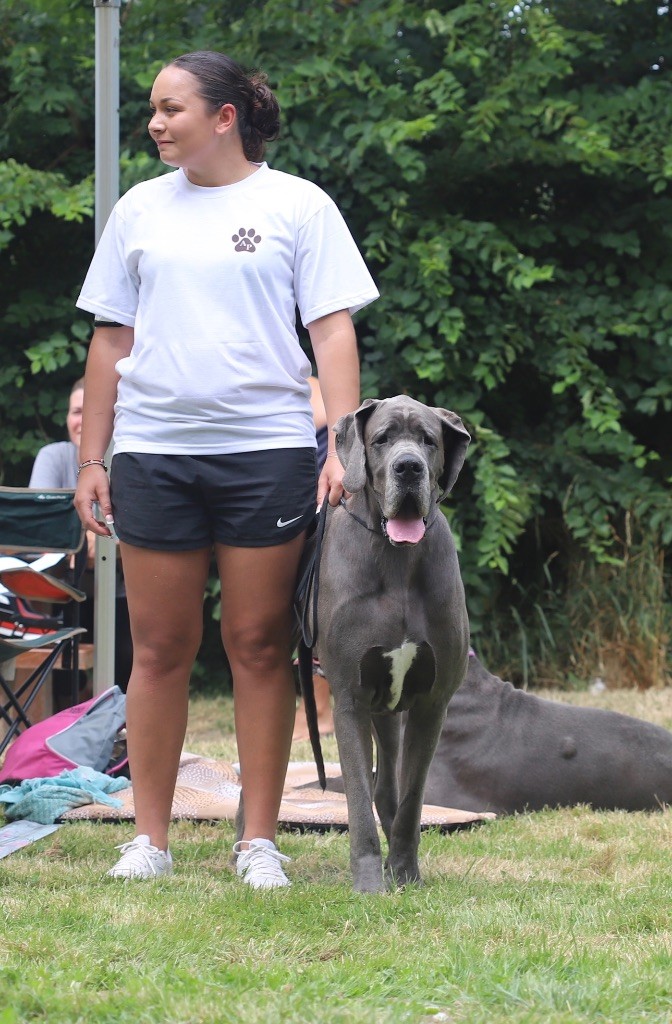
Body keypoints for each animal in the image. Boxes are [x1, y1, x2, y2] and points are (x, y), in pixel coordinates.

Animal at [315, 395, 473, 892]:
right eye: (382, 439)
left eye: (429, 440)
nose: (409, 467)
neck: (398, 560)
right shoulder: (349, 699)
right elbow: (358, 803)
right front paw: (369, 883)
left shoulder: (432, 703)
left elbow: (411, 800)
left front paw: (404, 872)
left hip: (388, 712)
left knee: (388, 789)